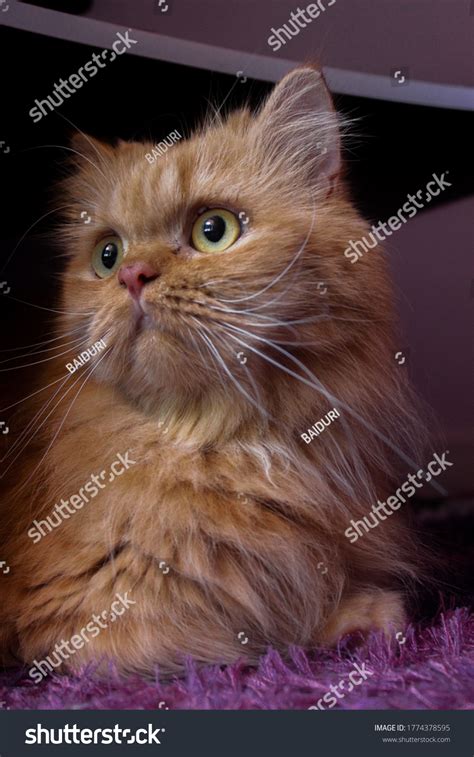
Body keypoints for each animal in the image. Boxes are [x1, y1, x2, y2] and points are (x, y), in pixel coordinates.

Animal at [0, 68, 422, 676]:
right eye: (107, 255)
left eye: (213, 230)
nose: (131, 274)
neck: (216, 442)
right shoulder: (88, 615)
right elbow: (245, 630)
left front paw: (359, 619)